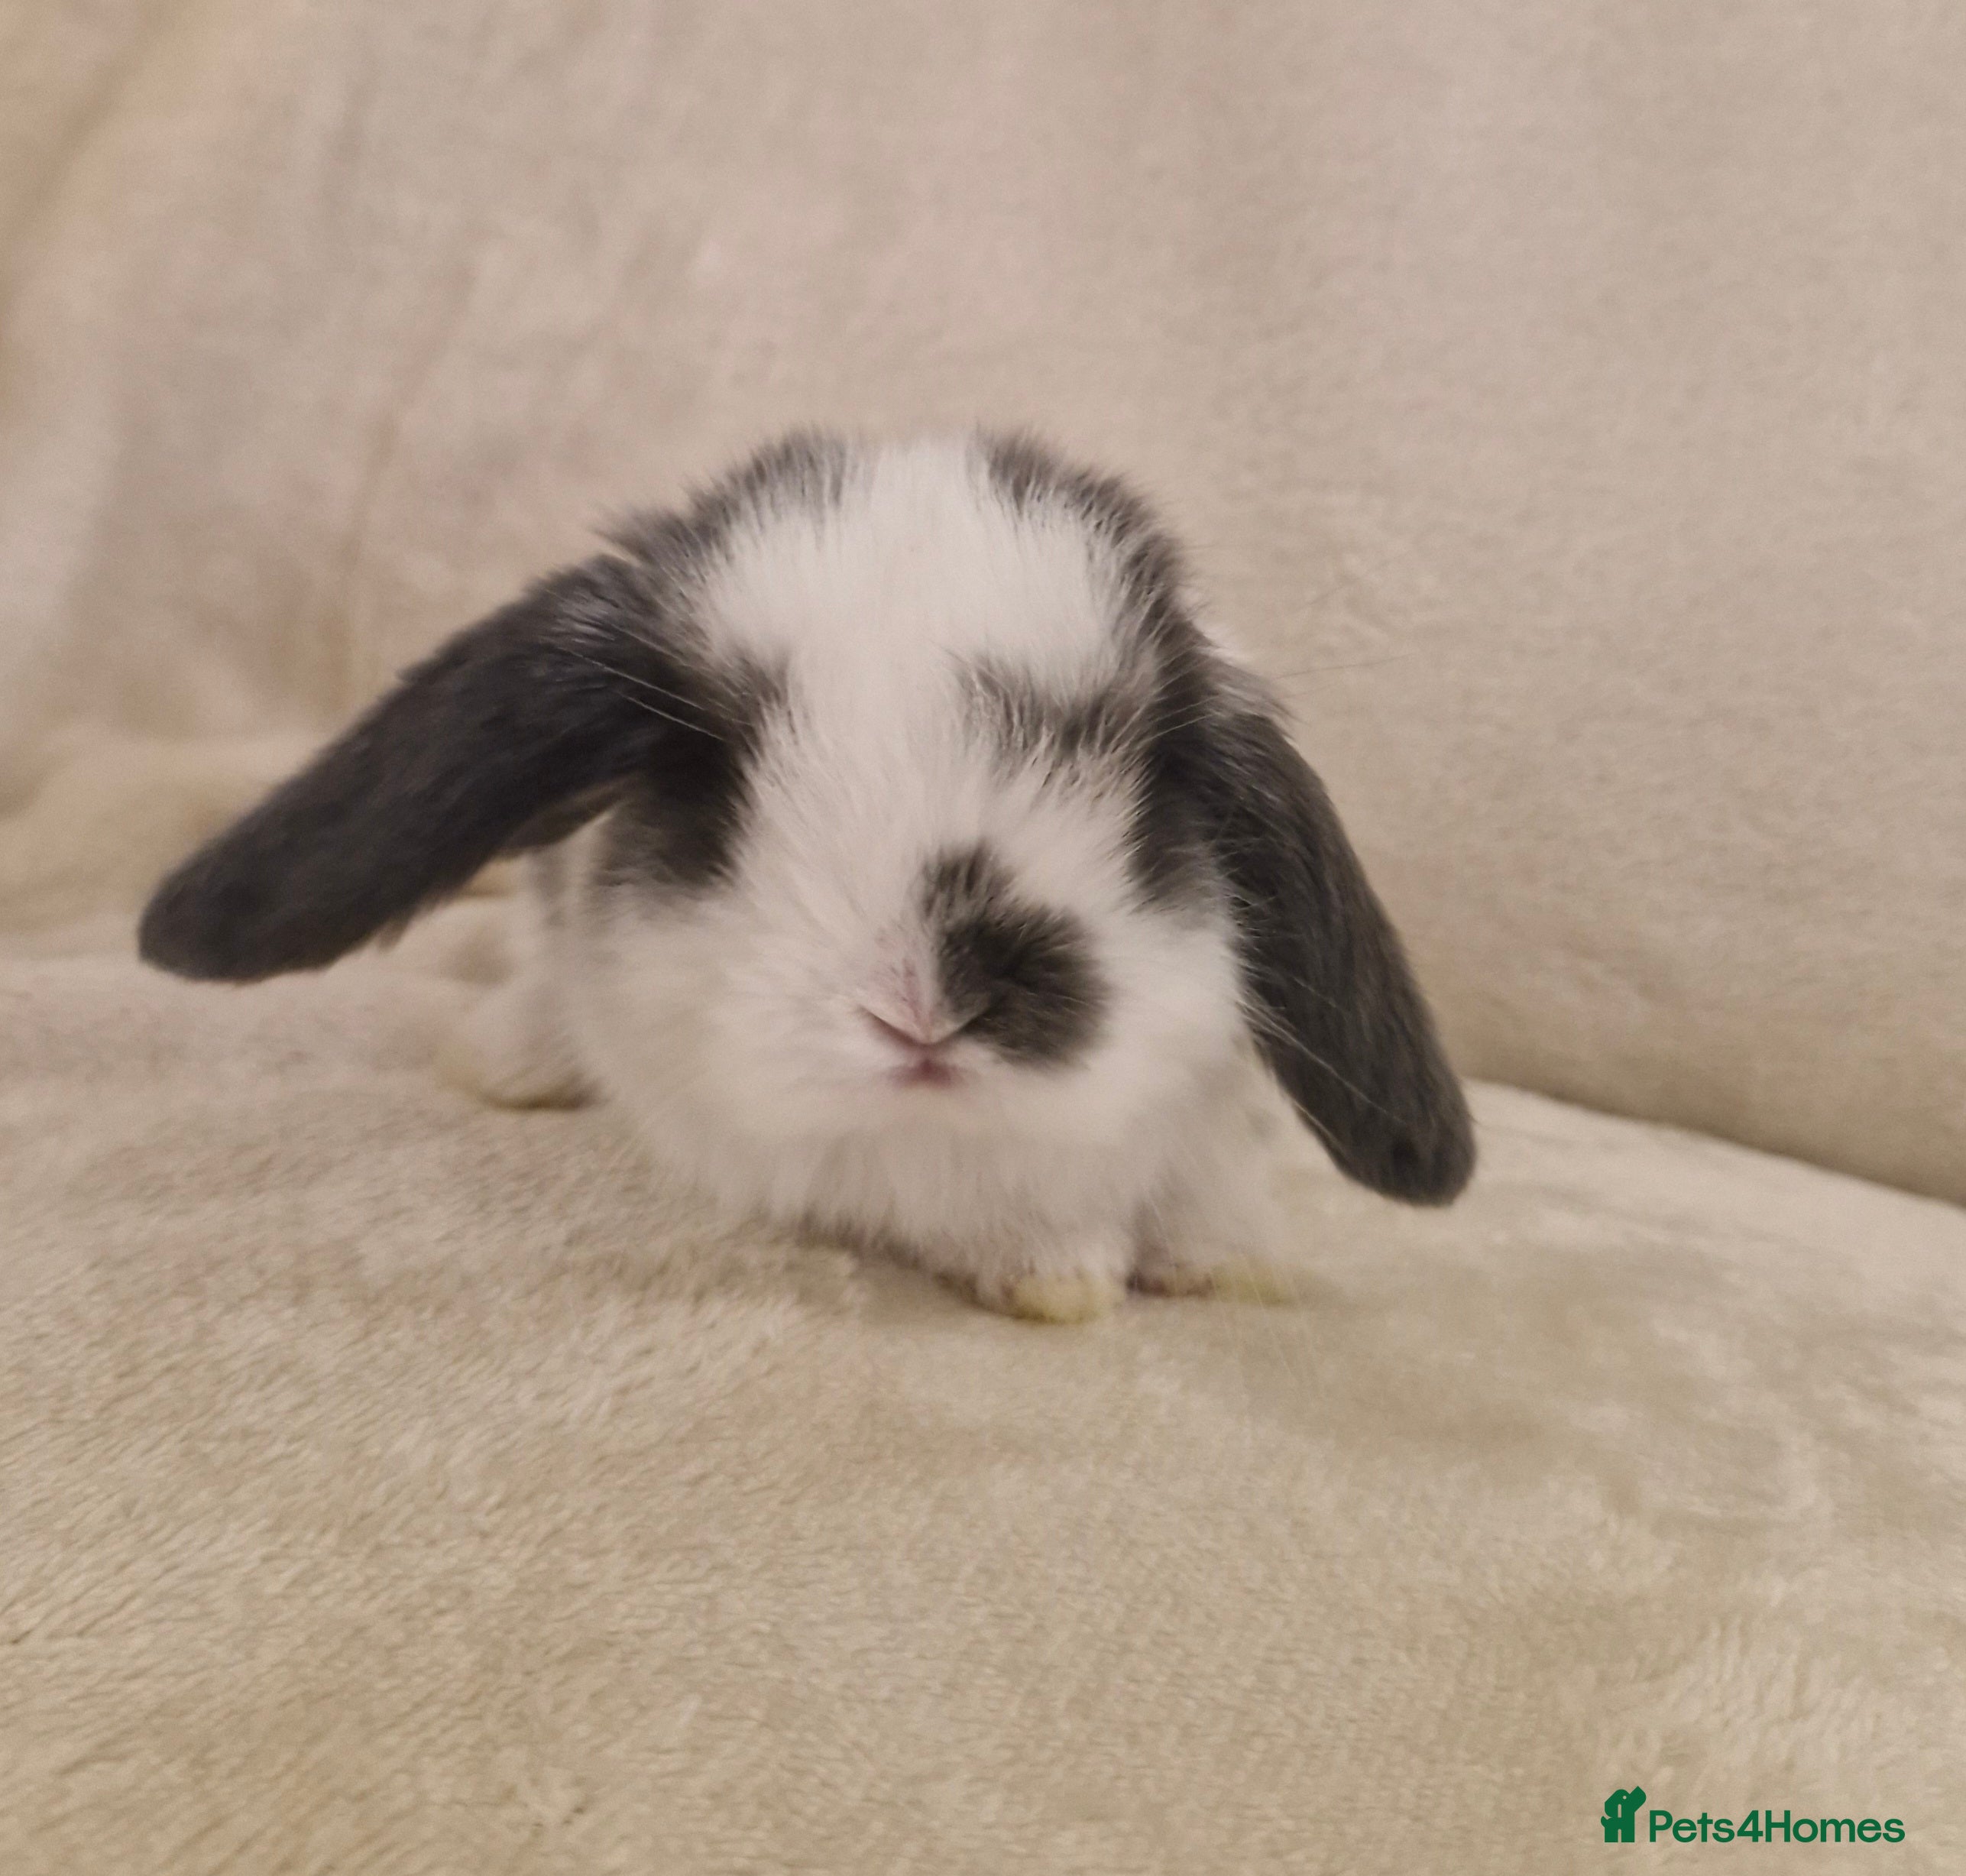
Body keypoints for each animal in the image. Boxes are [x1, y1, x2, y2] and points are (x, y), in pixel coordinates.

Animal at [139, 430, 1474, 1321]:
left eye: (1148, 789)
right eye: (713, 778)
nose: (925, 1007)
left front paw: (1195, 1261)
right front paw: (1063, 1269)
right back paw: (502, 1061)